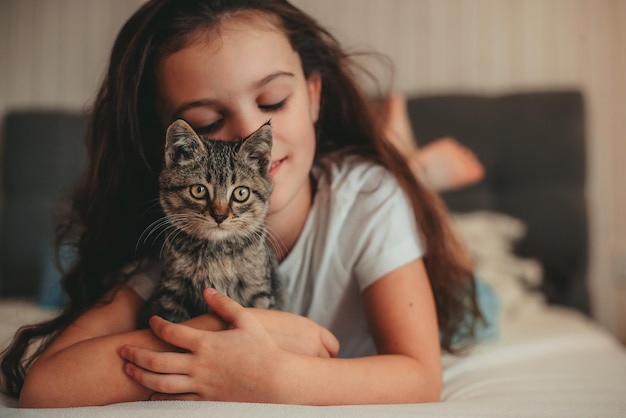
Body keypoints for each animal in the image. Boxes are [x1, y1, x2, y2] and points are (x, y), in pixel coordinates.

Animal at [138, 119, 282, 328]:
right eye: (198, 190)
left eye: (241, 193)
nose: (219, 216)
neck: (216, 251)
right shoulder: (171, 291)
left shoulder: (259, 292)